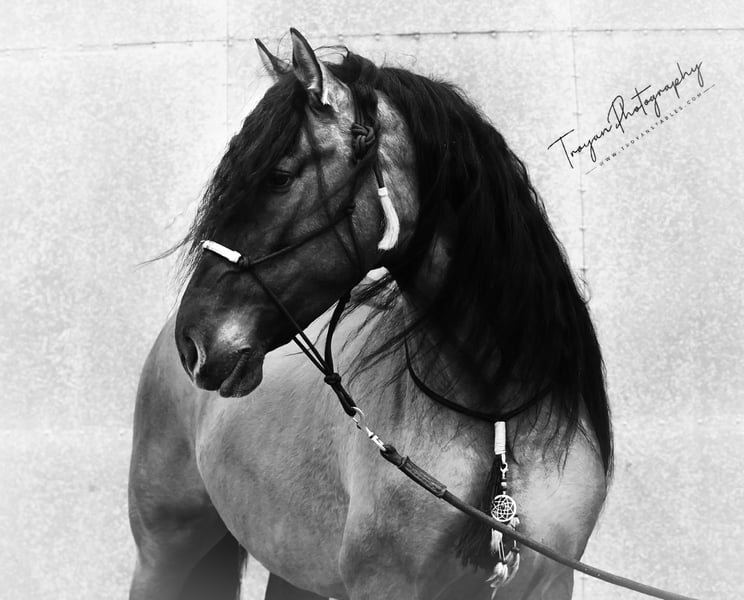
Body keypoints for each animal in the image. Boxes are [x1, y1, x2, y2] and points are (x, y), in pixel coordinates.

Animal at [128, 28, 613, 600]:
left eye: (279, 177)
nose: (194, 344)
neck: (499, 413)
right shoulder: (384, 583)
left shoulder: (549, 581)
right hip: (163, 554)